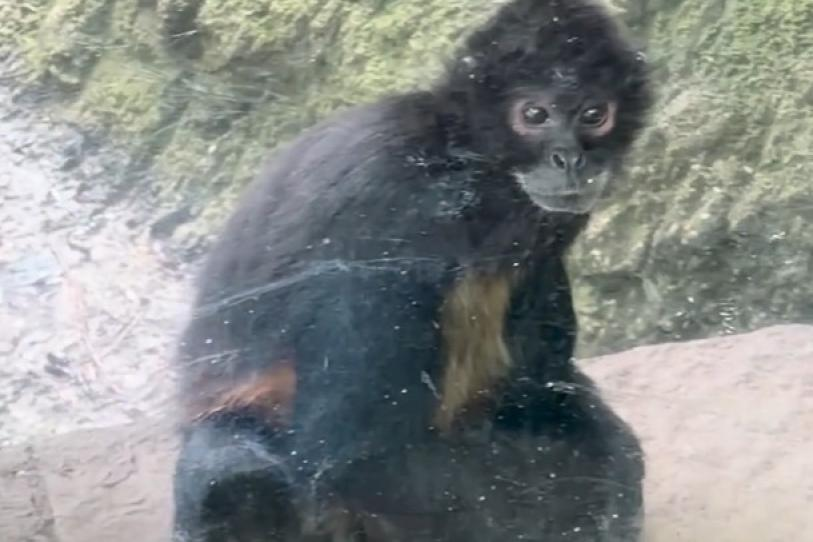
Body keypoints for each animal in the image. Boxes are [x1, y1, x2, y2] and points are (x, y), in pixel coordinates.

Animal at [171, 0, 653, 540]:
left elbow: (541, 392)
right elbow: (361, 459)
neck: (459, 162)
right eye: (534, 115)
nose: (569, 159)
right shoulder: (390, 210)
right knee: (235, 475)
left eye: (595, 114)